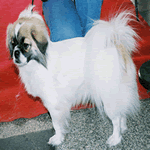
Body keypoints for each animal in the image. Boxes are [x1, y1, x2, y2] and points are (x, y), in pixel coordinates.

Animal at [6, 5, 140, 146]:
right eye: (13, 43)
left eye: (26, 45)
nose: (15, 53)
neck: (40, 62)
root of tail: (116, 45)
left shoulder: (54, 103)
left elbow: (56, 124)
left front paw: (58, 139)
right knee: (121, 112)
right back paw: (123, 128)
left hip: (108, 96)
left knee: (116, 118)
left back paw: (115, 138)